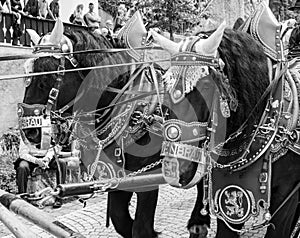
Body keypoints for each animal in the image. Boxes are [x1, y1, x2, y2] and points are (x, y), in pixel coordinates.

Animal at [23, 19, 164, 237]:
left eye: (47, 76)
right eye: (27, 74)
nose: (29, 130)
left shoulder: (149, 177)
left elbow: (140, 228)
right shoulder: (120, 178)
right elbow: (120, 220)